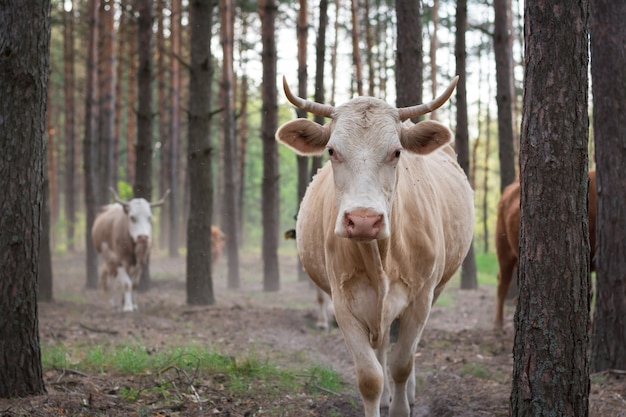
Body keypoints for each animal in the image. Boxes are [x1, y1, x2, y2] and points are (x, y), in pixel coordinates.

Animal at [276, 75, 470, 416]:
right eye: (331, 150)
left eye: (396, 152)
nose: (364, 220)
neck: (379, 256)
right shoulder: (343, 302)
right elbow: (370, 376)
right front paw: (381, 398)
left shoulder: (421, 298)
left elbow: (402, 363)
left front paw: (402, 406)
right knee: (380, 350)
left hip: (438, 287)